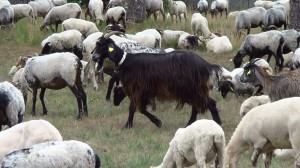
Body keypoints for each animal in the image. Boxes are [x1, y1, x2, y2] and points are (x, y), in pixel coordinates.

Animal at [92, 31, 223, 129]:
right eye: (97, 45)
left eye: (103, 46)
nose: (93, 57)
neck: (127, 60)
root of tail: (206, 64)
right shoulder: (139, 90)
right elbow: (134, 108)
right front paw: (128, 125)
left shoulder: (140, 89)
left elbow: (138, 108)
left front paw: (156, 122)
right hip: (192, 90)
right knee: (198, 106)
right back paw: (190, 125)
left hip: (194, 89)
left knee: (210, 103)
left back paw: (216, 123)